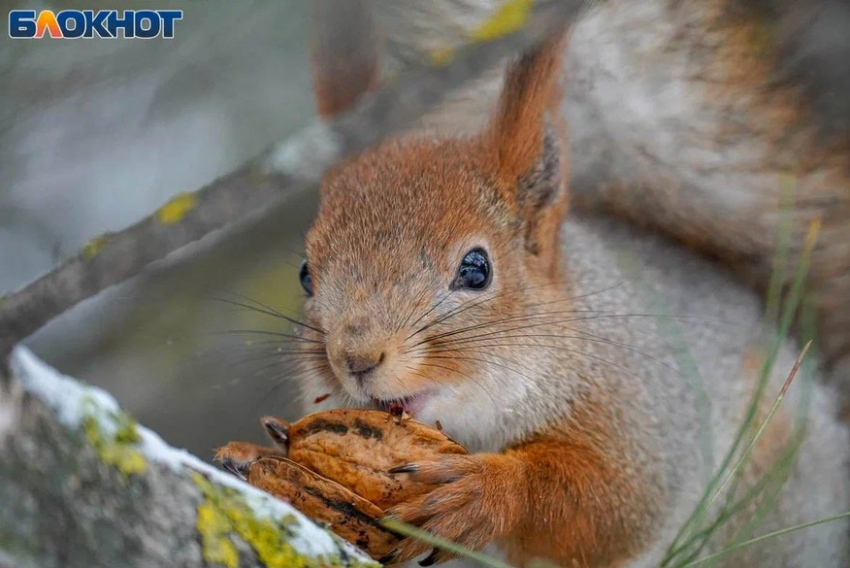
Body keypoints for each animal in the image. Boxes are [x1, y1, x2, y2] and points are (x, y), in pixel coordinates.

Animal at [284, 11, 848, 564]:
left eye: (477, 269)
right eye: (306, 273)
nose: (356, 358)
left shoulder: (645, 410)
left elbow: (612, 509)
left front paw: (489, 491)